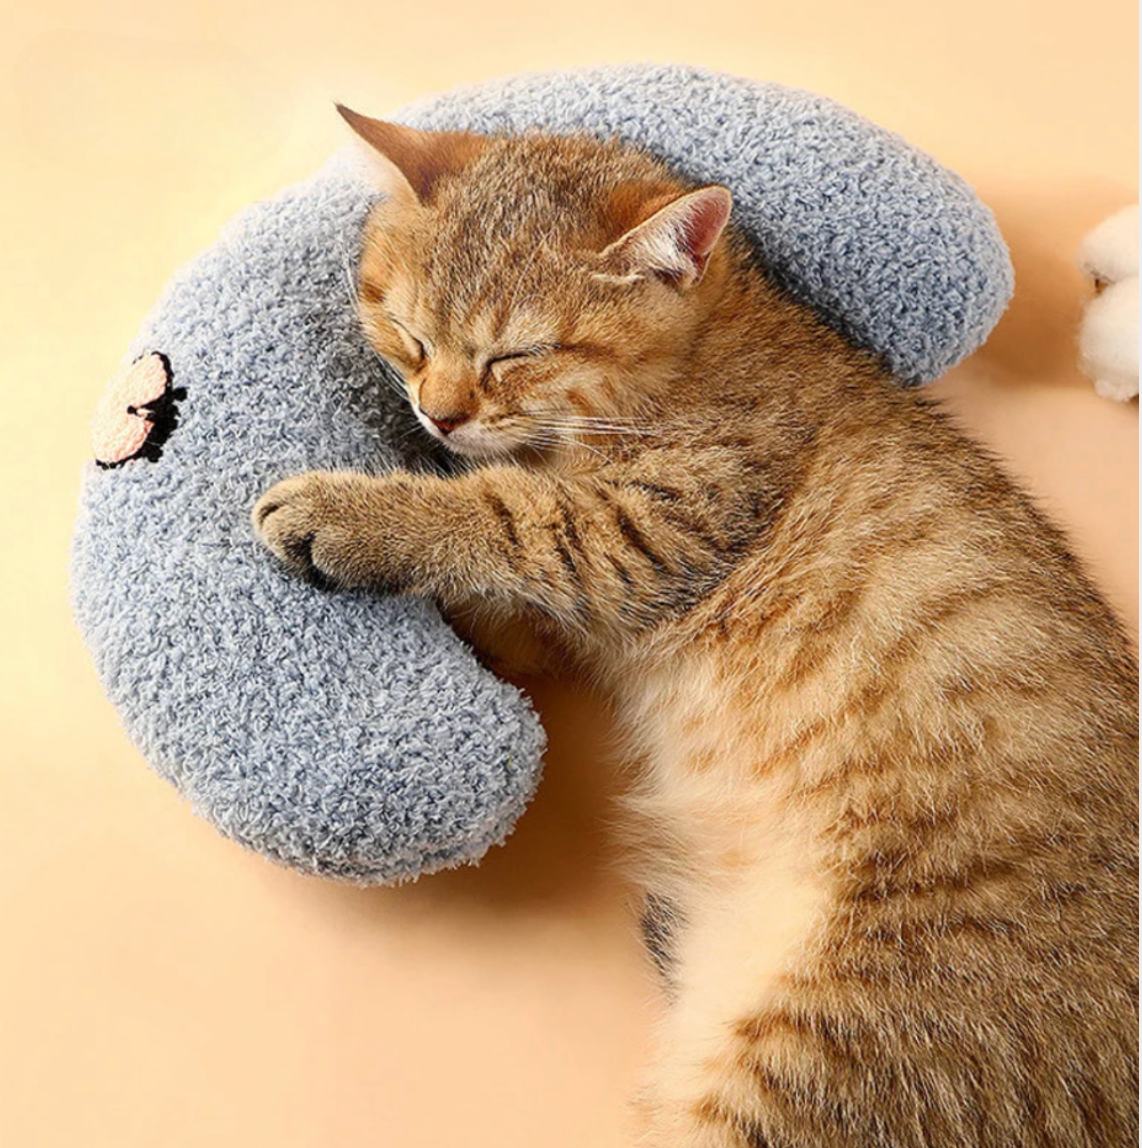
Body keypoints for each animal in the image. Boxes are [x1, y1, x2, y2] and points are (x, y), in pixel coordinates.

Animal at [254, 109, 1138, 1148]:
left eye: (515, 355)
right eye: (408, 333)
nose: (437, 416)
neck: (705, 347)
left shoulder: (652, 525)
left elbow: (504, 512)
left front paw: (354, 514)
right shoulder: (575, 611)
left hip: (812, 1060)